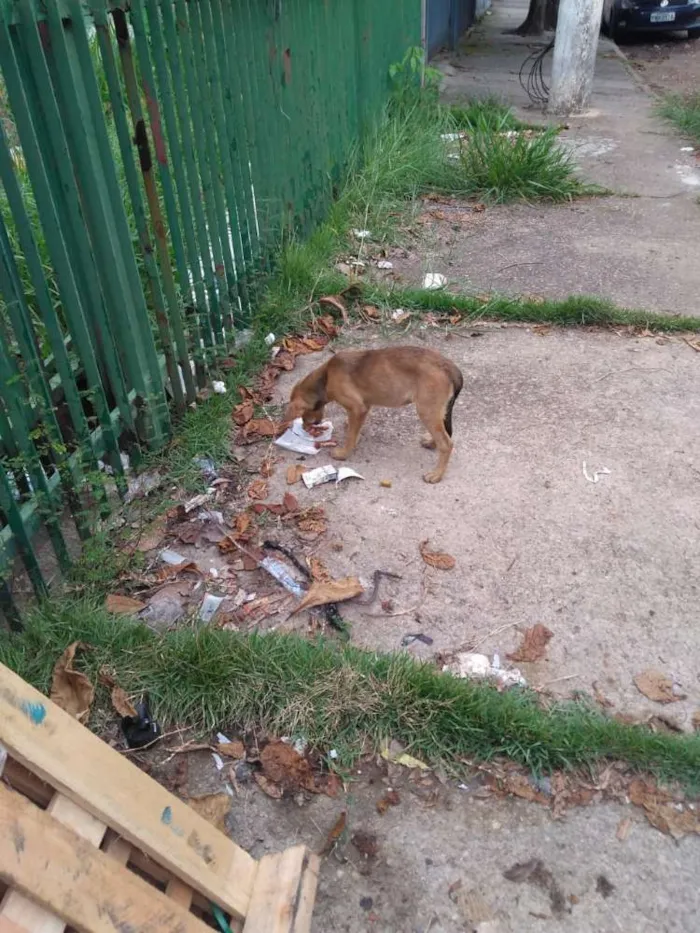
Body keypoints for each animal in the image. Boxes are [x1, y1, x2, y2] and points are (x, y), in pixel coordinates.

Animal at [284, 346, 464, 484]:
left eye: (303, 414)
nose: (307, 426)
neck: (326, 377)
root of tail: (449, 367)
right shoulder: (365, 406)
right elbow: (354, 429)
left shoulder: (357, 408)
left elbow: (350, 436)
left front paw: (343, 453)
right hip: (437, 410)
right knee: (443, 433)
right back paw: (431, 442)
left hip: (426, 410)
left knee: (446, 443)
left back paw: (436, 475)